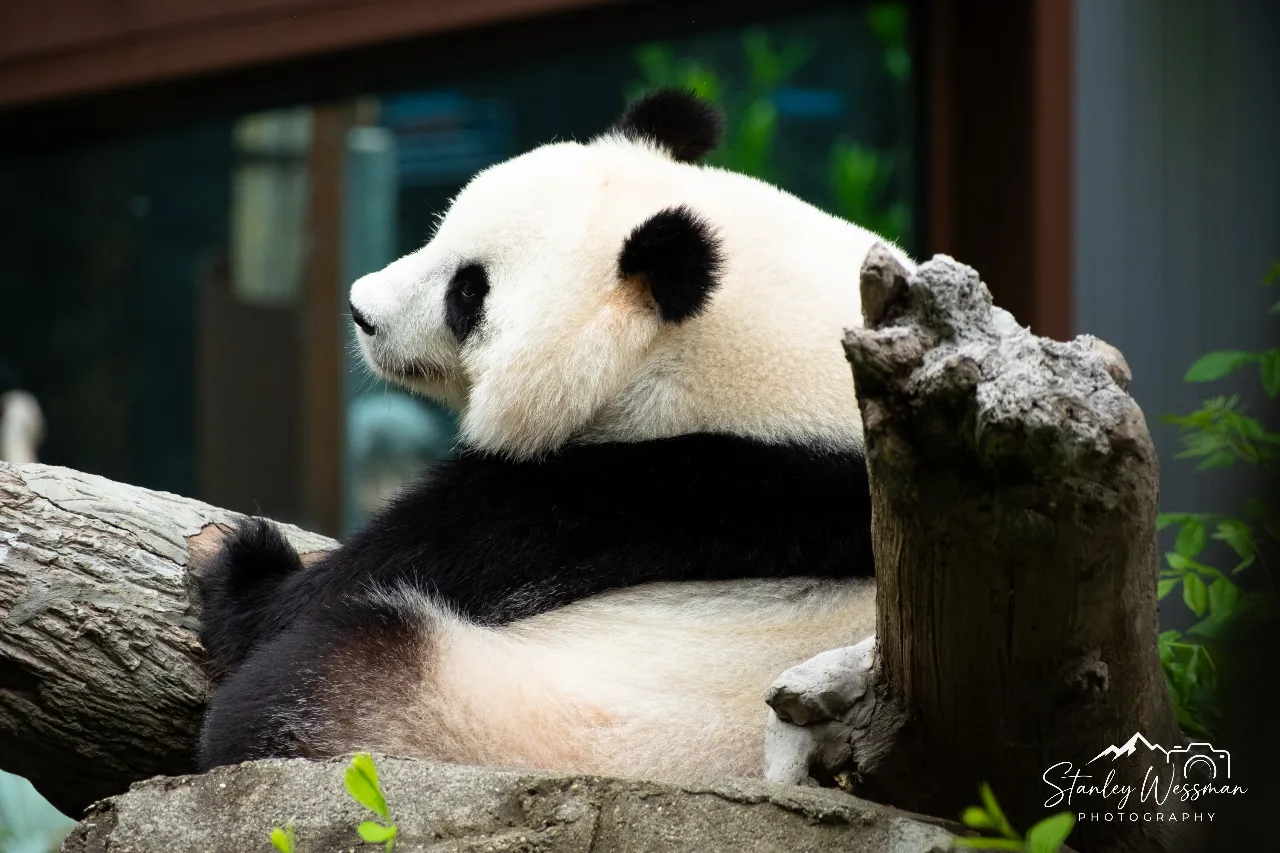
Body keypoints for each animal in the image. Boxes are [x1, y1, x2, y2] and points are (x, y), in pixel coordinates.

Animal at [197, 88, 914, 783]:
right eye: (440, 232)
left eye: (469, 293)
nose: (362, 310)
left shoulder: (685, 484)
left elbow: (422, 555)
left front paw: (247, 573)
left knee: (326, 667)